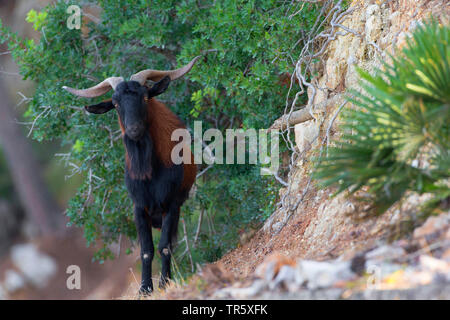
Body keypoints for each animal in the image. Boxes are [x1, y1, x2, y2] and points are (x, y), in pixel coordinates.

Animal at [62, 57, 200, 292]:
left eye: (144, 96)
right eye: (115, 103)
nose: (134, 129)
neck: (150, 173)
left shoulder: (171, 204)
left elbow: (164, 246)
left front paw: (164, 283)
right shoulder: (139, 207)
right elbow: (146, 251)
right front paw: (145, 289)